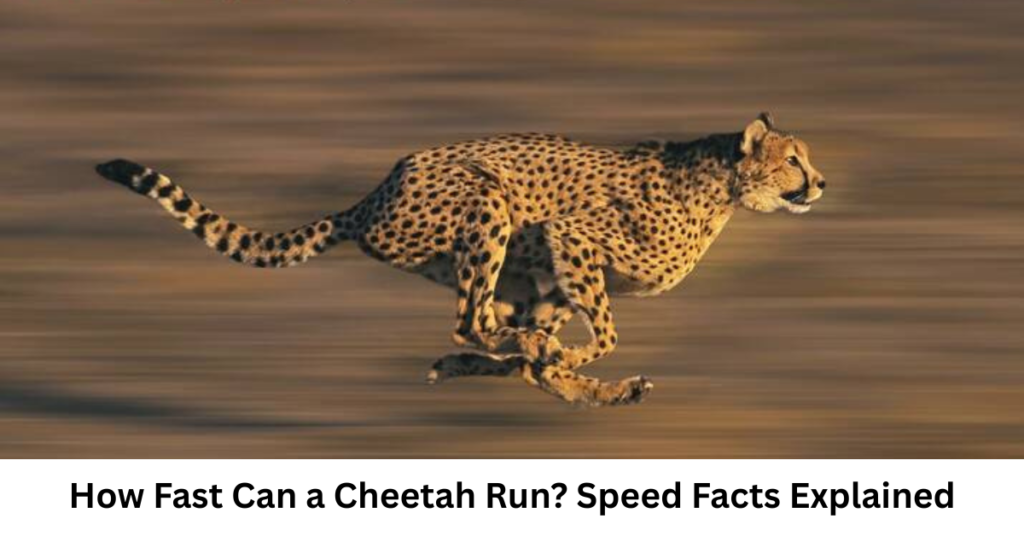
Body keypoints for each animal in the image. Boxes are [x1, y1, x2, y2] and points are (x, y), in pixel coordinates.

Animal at [95, 112, 825, 407]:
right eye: (793, 159)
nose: (820, 183)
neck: (723, 186)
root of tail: (377, 191)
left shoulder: (555, 267)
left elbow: (558, 352)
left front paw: (567, 368)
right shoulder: (571, 236)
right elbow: (606, 333)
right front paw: (568, 357)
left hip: (518, 266)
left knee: (491, 335)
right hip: (488, 203)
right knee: (472, 322)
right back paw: (522, 356)